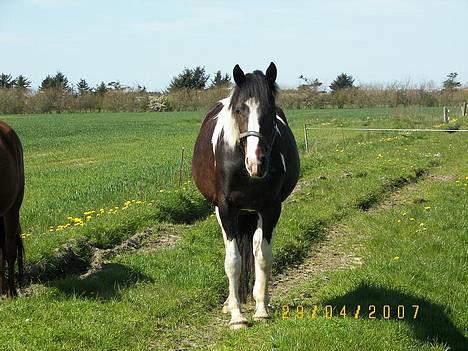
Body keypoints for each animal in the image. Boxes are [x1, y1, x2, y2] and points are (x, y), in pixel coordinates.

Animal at [191, 63, 298, 330]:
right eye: (239, 110)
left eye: (270, 110)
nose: (256, 162)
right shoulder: (227, 209)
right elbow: (233, 261)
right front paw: (237, 316)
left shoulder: (270, 209)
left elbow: (263, 256)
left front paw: (261, 308)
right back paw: (230, 303)